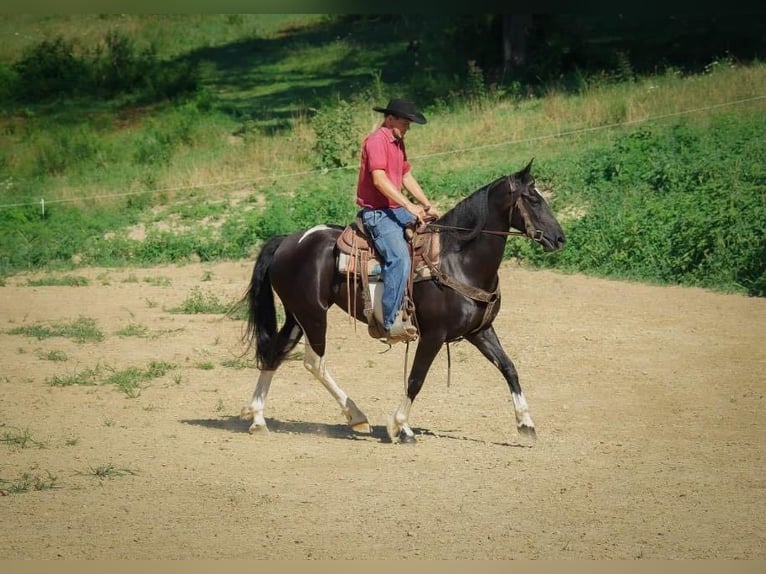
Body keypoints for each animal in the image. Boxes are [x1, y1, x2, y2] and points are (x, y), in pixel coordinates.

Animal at [243, 160, 568, 448]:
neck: (457, 259)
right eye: (532, 199)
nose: (560, 239)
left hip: (296, 316)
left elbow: (509, 367)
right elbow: (415, 379)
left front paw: (526, 424)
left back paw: (259, 419)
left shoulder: (480, 330)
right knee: (314, 362)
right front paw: (400, 427)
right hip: (313, 314)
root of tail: (288, 240)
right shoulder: (434, 335)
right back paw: (356, 416)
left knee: (274, 354)